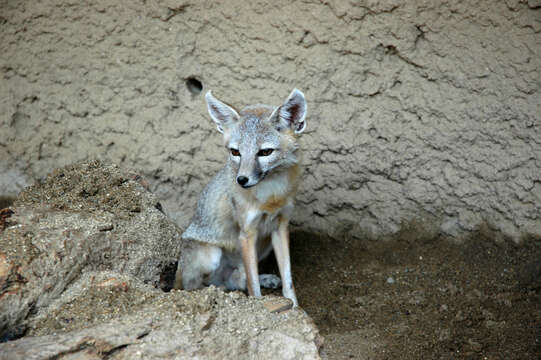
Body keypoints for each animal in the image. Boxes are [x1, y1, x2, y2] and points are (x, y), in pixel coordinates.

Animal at [174, 88, 308, 306]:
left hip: (264, 245)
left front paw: (295, 307)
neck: (270, 196)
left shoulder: (280, 226)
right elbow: (253, 285)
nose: (242, 180)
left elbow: (288, 280)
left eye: (265, 152)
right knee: (194, 287)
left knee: (237, 279)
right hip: (212, 255)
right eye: (235, 152)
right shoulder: (247, 233)